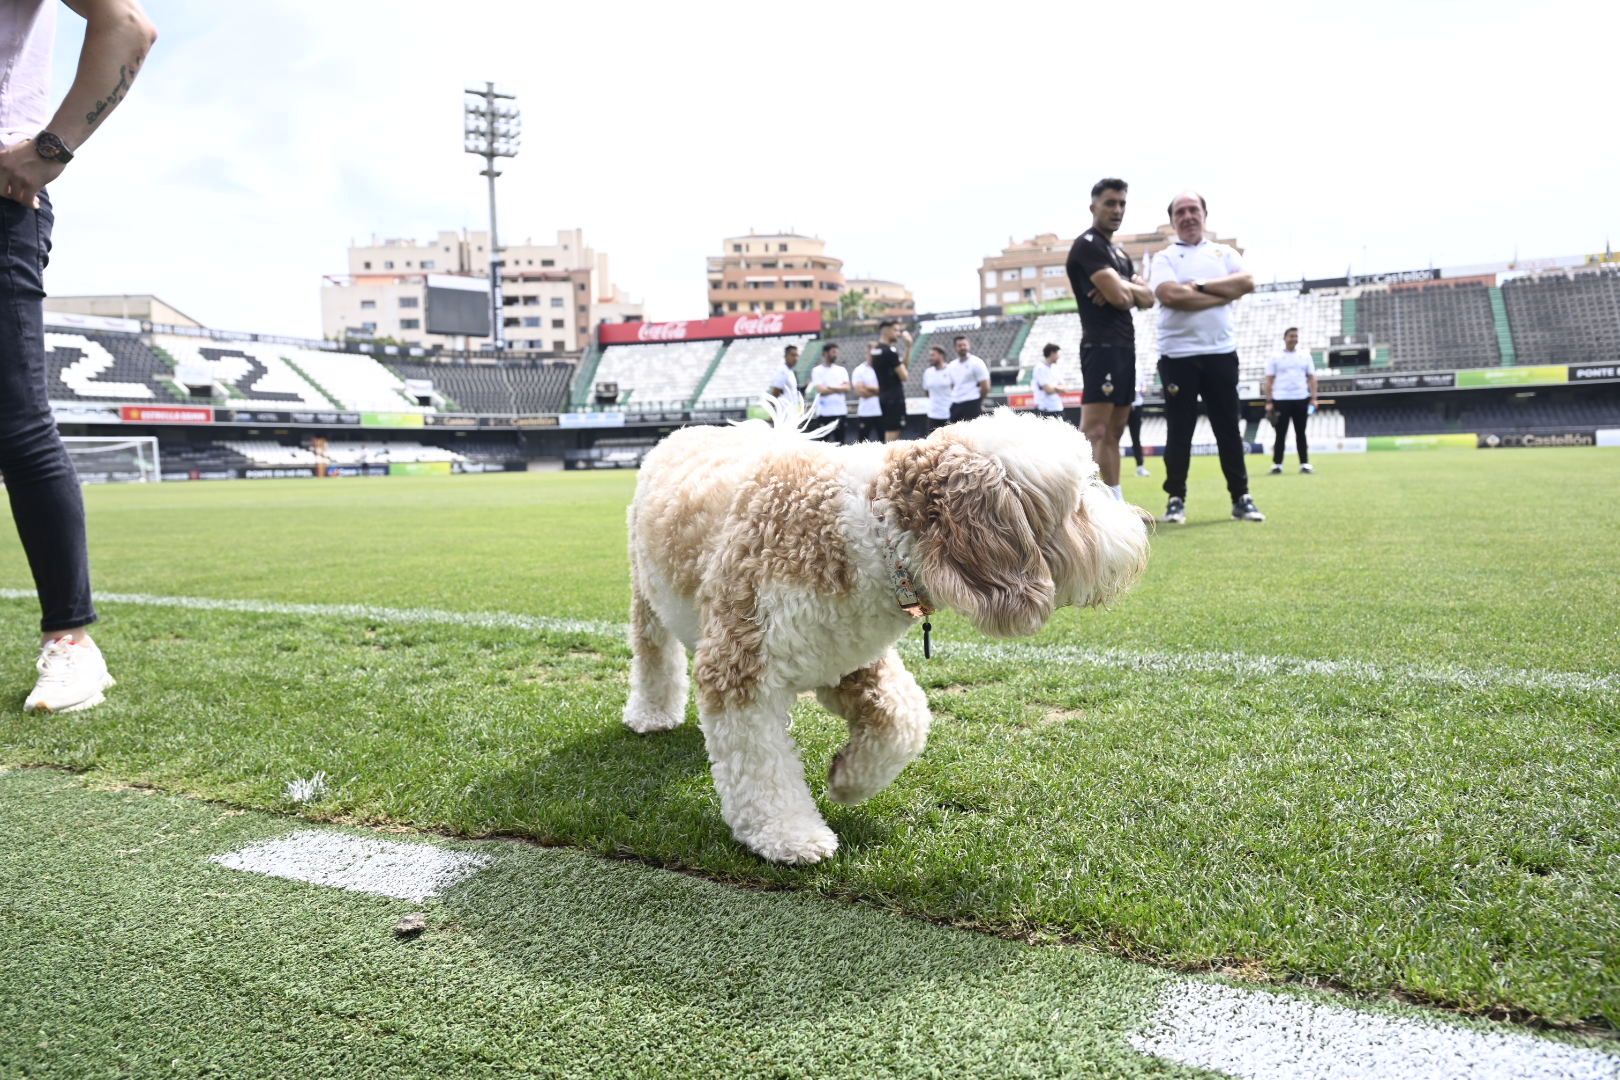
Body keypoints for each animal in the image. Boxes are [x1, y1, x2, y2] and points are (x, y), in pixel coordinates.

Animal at [622, 401, 1153, 867]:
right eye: (1078, 504)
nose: (1142, 529)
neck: (873, 531)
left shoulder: (851, 655)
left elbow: (905, 719)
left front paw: (847, 779)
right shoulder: (740, 662)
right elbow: (761, 766)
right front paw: (789, 834)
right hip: (646, 592)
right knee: (654, 654)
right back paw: (652, 713)